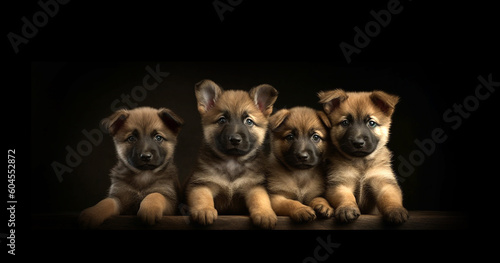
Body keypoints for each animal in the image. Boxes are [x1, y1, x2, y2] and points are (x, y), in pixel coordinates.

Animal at [318, 90, 408, 225]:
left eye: (371, 123)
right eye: (345, 122)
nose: (358, 143)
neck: (361, 162)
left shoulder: (384, 183)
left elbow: (389, 198)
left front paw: (395, 210)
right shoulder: (340, 183)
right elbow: (346, 197)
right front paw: (347, 208)